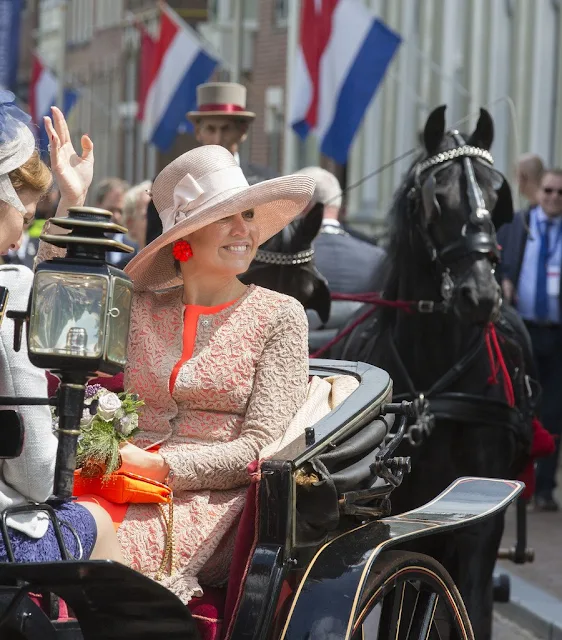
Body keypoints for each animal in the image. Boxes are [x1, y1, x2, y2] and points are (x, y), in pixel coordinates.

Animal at [334, 106, 532, 640]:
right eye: (435, 198)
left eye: (497, 194)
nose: (480, 295)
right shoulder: (395, 514)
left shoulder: (479, 519)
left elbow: (473, 607)